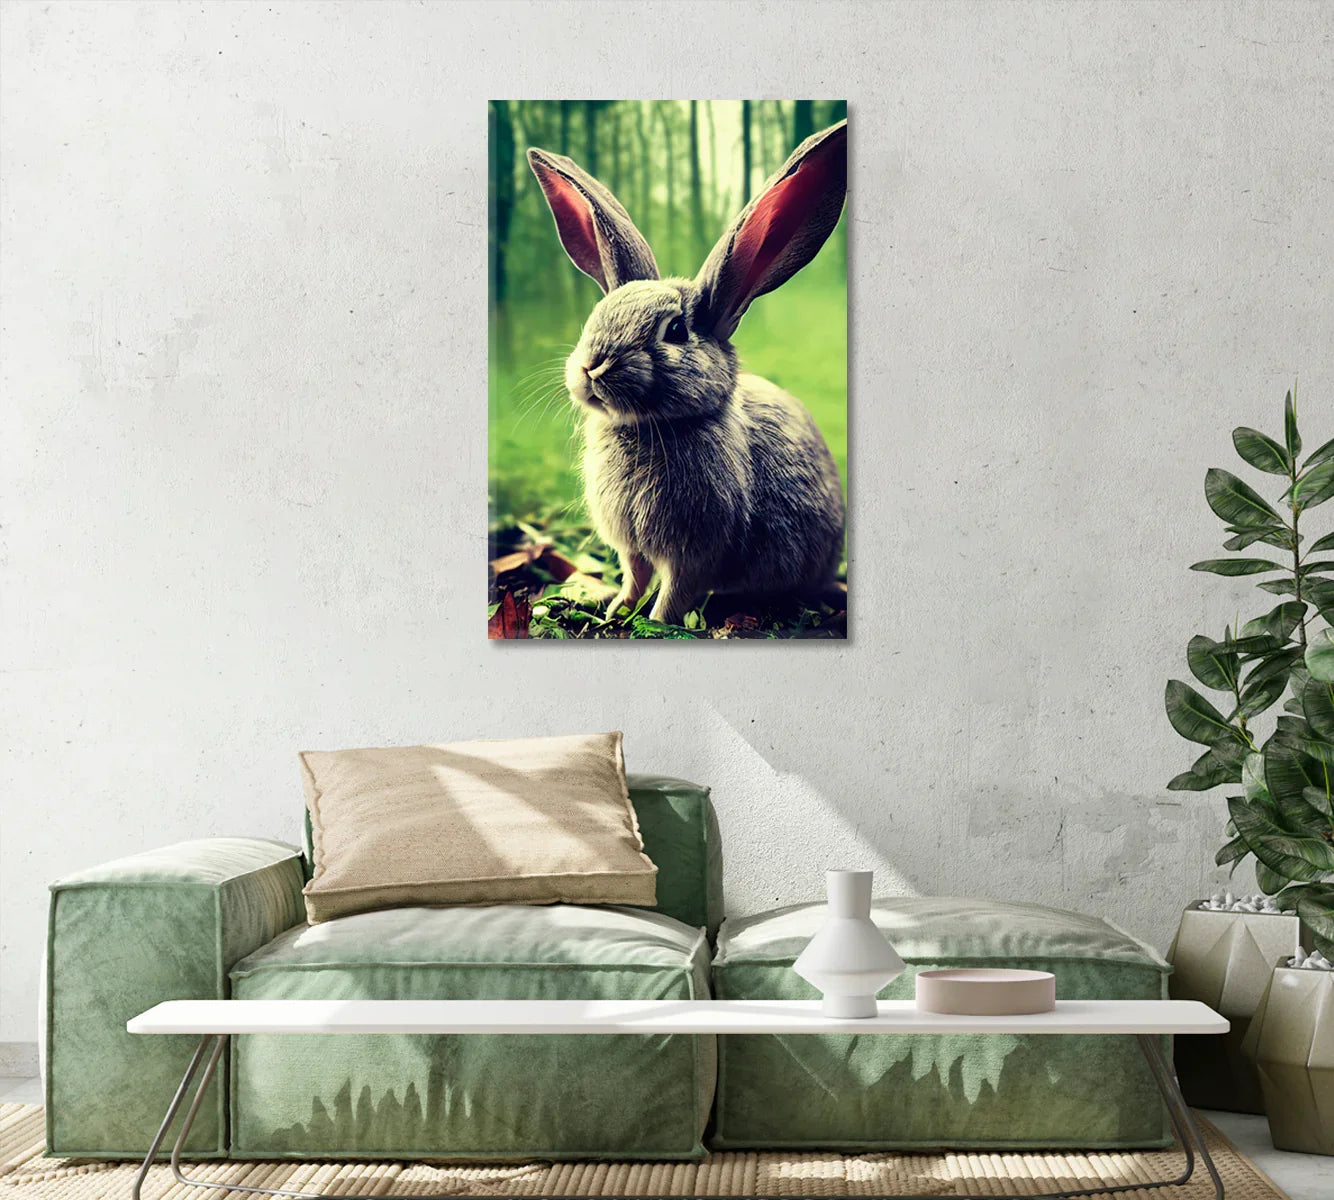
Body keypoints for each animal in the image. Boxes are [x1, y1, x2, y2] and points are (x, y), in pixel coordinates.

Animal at [526, 119, 847, 628]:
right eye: (597, 314)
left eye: (675, 331)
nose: (592, 365)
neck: (649, 427)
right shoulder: (632, 546)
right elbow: (634, 576)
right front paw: (616, 612)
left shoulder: (697, 552)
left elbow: (675, 592)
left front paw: (654, 624)